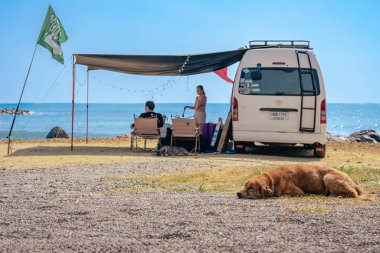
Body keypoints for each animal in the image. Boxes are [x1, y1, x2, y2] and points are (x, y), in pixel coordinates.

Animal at [238, 165, 374, 201]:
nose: (238, 193)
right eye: (244, 185)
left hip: (328, 177)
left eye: (250, 188)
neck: (272, 179)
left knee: (353, 193)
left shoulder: (297, 191)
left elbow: (282, 193)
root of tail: (352, 180)